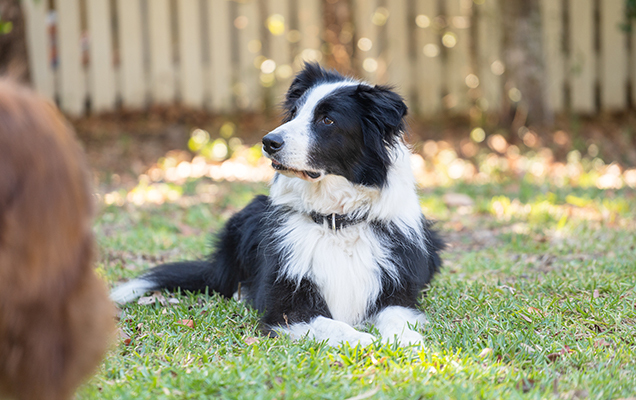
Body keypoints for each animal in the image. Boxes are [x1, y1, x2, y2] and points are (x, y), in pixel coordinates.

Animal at [110, 62, 442, 346]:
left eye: (327, 119)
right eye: (294, 112)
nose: (268, 142)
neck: (336, 220)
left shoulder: (396, 293)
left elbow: (398, 319)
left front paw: (408, 345)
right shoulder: (287, 305)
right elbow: (335, 326)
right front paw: (367, 342)